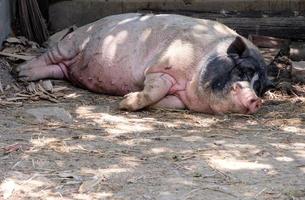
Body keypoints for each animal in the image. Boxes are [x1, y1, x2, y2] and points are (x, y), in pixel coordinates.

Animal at [17, 12, 272, 114]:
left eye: (259, 87)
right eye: (242, 71)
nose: (255, 100)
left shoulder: (182, 100)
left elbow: (165, 102)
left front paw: (127, 99)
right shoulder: (160, 68)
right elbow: (153, 90)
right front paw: (124, 102)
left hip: (69, 61)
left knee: (58, 68)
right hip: (72, 42)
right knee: (49, 56)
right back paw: (21, 72)